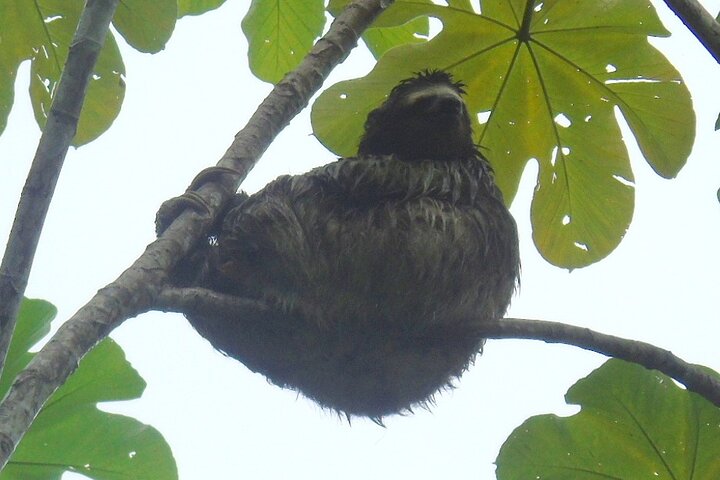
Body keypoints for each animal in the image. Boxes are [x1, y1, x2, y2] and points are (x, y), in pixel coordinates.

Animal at [179, 70, 520, 420]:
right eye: (425, 101)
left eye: (459, 106)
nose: (450, 105)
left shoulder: (420, 170)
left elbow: (335, 178)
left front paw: (228, 206)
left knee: (280, 202)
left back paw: (221, 262)